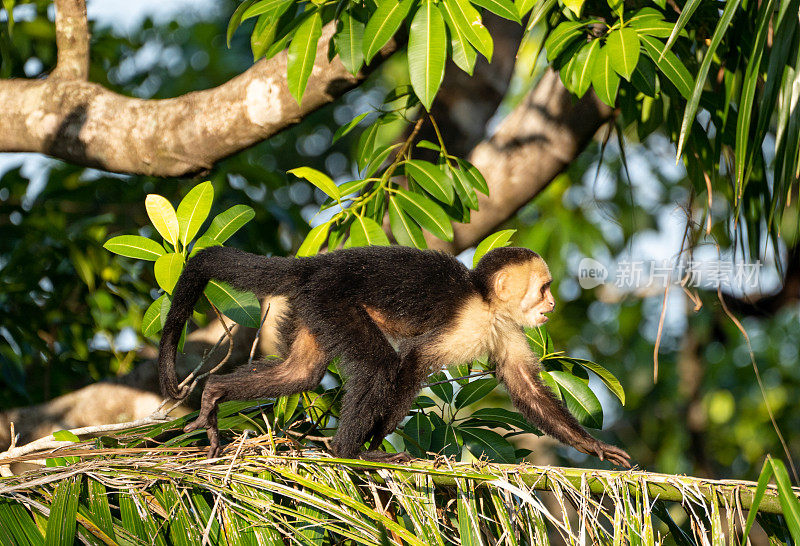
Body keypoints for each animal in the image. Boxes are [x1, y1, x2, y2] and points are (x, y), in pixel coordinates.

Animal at [156, 244, 632, 466]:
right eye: (544, 288)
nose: (551, 304)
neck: (486, 302)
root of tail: (314, 264)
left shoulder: (506, 329)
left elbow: (526, 387)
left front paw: (592, 446)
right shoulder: (470, 323)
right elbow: (414, 362)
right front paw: (376, 439)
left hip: (311, 307)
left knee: (300, 372)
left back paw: (215, 393)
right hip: (332, 298)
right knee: (377, 365)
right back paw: (349, 451)